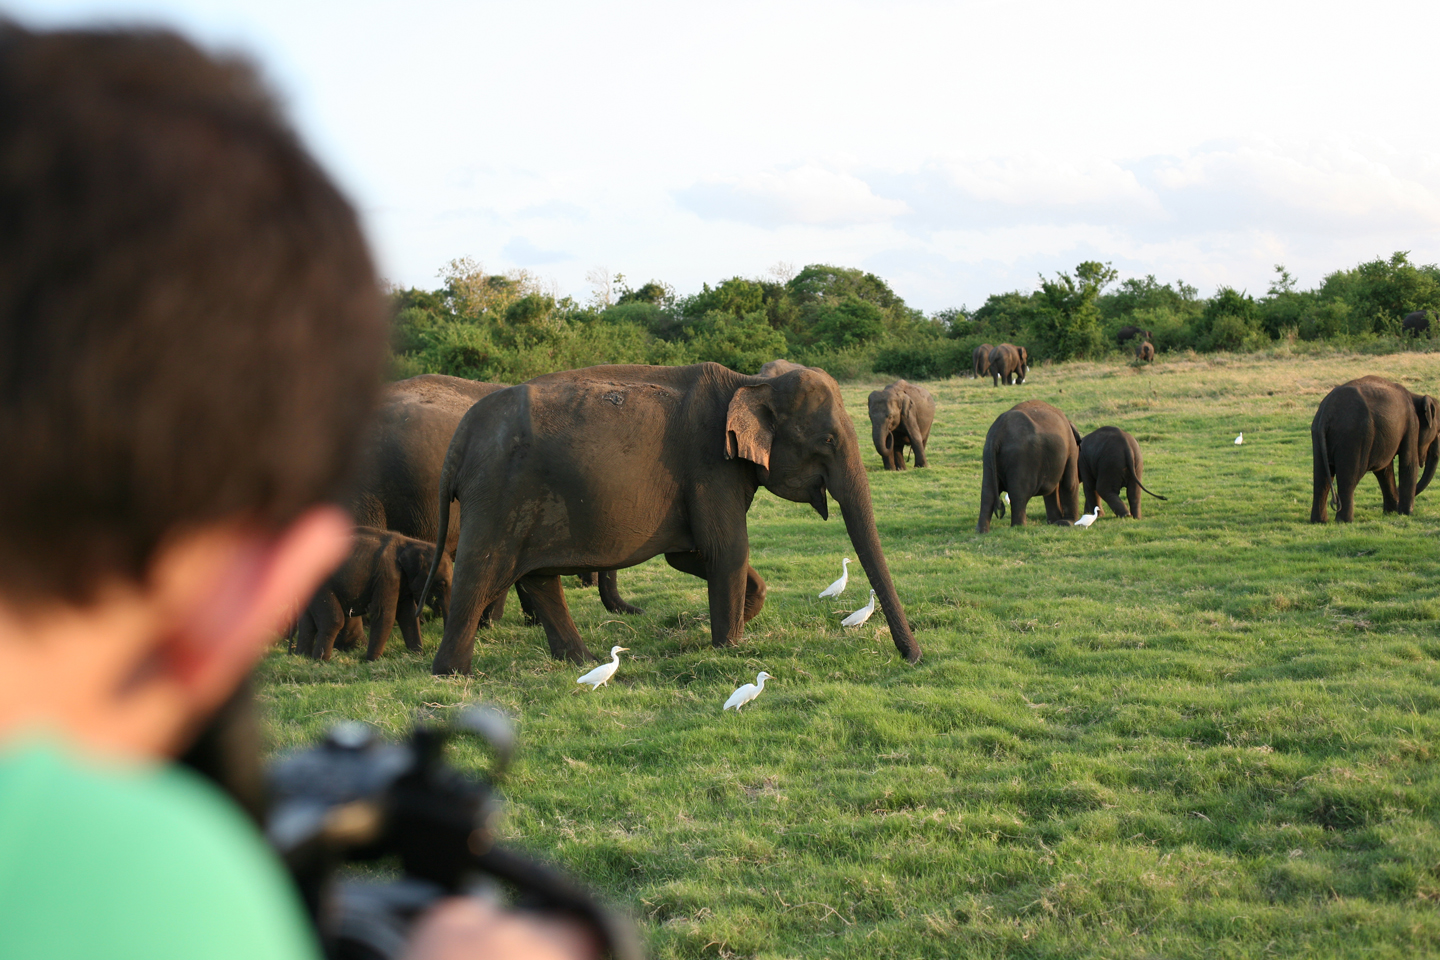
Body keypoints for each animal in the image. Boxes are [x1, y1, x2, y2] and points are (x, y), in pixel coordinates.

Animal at [296, 527, 453, 661]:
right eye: (442, 584)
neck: (411, 542)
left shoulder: (402, 581)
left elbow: (407, 615)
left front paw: (417, 654)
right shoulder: (387, 575)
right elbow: (384, 614)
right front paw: (372, 661)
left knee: (307, 621)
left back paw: (303, 657)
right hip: (319, 584)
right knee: (333, 620)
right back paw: (321, 661)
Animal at [421, 362, 921, 673]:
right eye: (828, 440)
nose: (913, 658)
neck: (749, 382)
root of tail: (459, 441)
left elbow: (690, 555)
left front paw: (739, 620)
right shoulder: (710, 465)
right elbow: (727, 549)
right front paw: (730, 645)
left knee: (540, 579)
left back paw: (579, 662)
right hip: (496, 496)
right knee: (481, 573)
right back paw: (453, 674)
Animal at [977, 400, 1081, 532]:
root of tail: (997, 433)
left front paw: (1054, 522)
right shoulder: (1071, 449)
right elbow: (1070, 482)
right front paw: (1067, 523)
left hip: (988, 456)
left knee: (987, 494)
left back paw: (981, 531)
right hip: (1021, 458)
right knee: (1019, 494)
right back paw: (1019, 527)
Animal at [1310, 375, 1440, 522]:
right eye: (1438, 431)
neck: (1415, 396)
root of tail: (1326, 413)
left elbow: (1384, 469)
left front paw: (1391, 512)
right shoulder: (1411, 424)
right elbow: (1408, 464)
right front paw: (1406, 514)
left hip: (1318, 435)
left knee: (1322, 478)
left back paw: (1320, 521)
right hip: (1353, 437)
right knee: (1349, 478)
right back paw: (1345, 521)